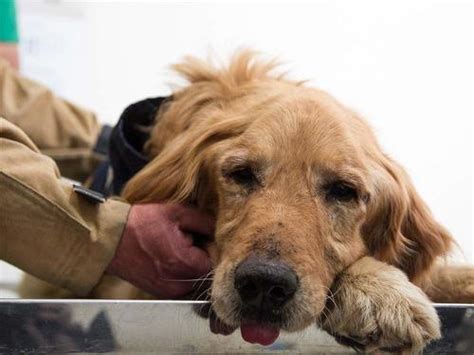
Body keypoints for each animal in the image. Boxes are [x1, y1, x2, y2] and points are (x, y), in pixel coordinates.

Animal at [21, 52, 474, 354]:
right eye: (240, 173)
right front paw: (379, 291)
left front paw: (380, 287)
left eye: (344, 190)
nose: (264, 286)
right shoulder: (130, 287)